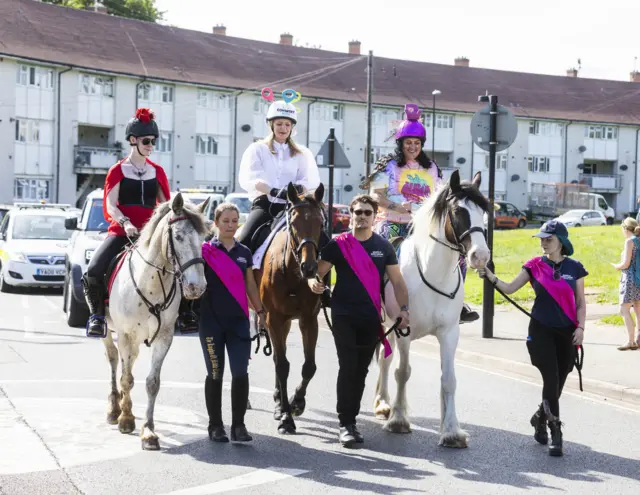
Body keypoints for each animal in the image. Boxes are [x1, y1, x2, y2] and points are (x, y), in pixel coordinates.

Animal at [255, 182, 324, 434]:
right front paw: (286, 417)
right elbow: (283, 365)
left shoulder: (308, 319)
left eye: (320, 223)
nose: (310, 267)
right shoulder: (273, 318)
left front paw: (296, 403)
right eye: (294, 224)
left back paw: (279, 401)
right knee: (276, 358)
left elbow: (309, 367)